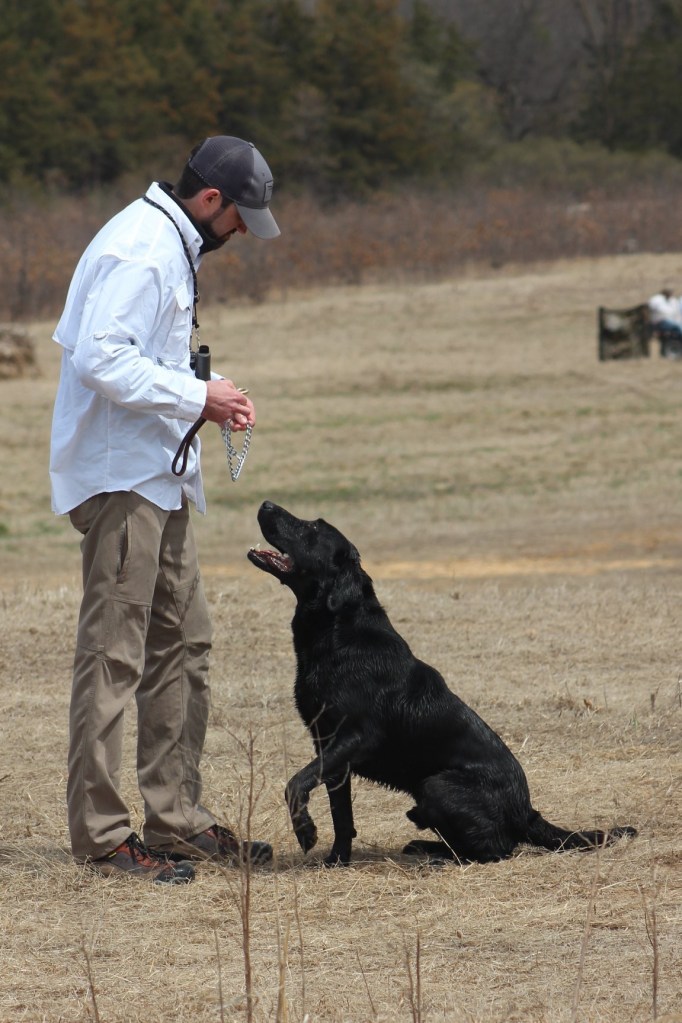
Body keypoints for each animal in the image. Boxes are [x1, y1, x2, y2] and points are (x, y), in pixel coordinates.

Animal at [248, 501, 637, 865]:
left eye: (312, 527)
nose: (266, 503)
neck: (337, 631)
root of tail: (527, 813)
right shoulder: (328, 745)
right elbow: (340, 813)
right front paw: (336, 860)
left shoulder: (355, 737)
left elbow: (296, 782)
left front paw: (306, 832)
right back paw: (423, 847)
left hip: (435, 785)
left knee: (497, 849)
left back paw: (435, 856)